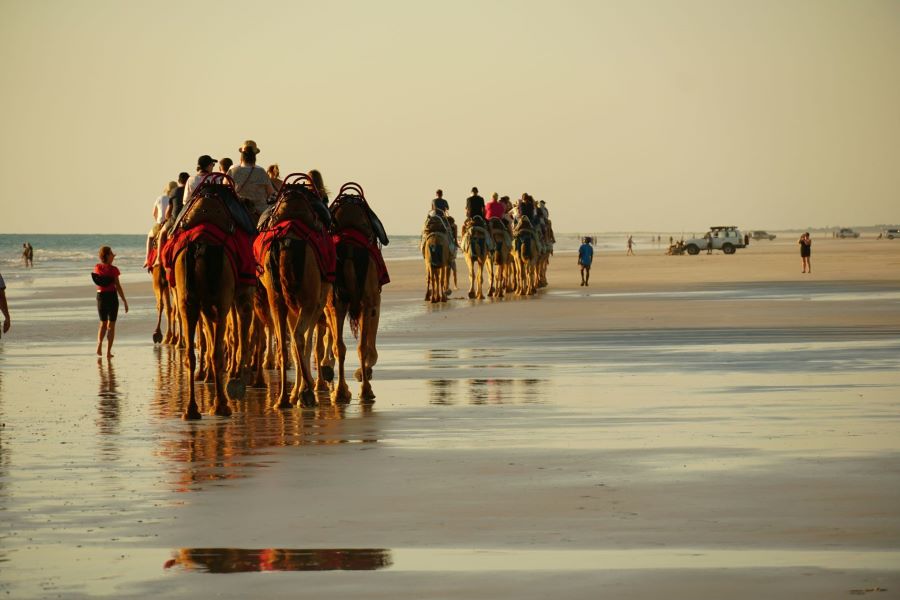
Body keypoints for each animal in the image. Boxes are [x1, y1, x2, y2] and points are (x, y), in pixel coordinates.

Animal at [255, 171, 336, 410]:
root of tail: (287, 242)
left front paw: (294, 394)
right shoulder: (316, 301)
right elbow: (308, 342)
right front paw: (302, 391)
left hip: (276, 297)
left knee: (285, 342)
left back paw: (282, 399)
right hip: (308, 297)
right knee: (299, 336)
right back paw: (307, 392)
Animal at [326, 179, 390, 404]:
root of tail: (350, 253)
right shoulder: (374, 301)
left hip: (337, 302)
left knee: (341, 346)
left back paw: (342, 392)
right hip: (364, 300)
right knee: (357, 346)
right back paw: (361, 389)